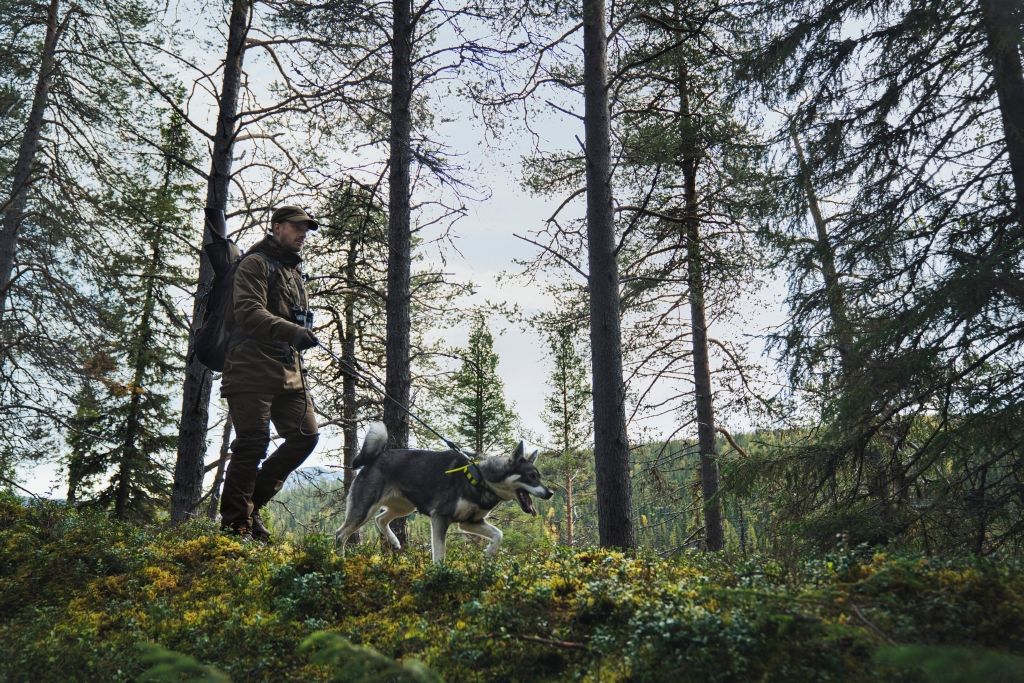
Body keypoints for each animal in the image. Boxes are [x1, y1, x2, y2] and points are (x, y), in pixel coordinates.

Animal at [335, 421, 554, 563]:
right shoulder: (440, 517)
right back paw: (340, 561)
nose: (550, 493)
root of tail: (375, 458)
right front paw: (439, 574)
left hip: (404, 507)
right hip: (364, 509)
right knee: (341, 534)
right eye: (531, 476)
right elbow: (439, 554)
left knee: (380, 519)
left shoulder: (470, 522)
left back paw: (395, 541)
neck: (482, 478)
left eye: (539, 476)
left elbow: (498, 534)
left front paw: (489, 553)